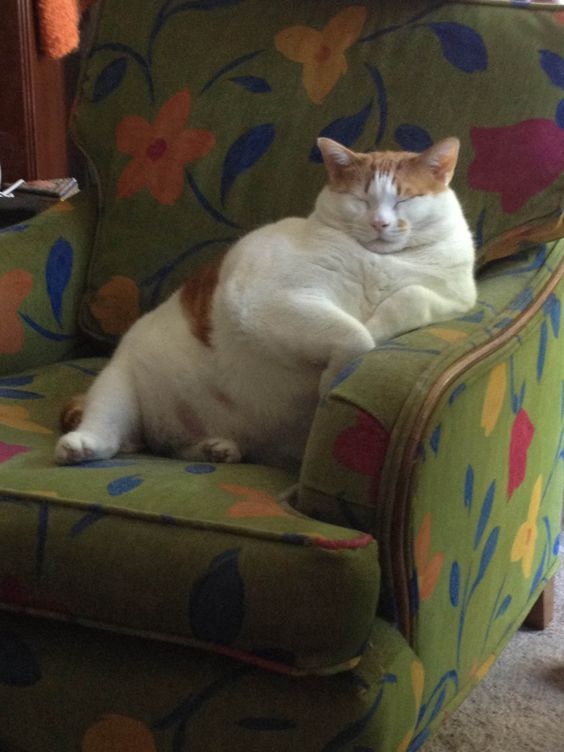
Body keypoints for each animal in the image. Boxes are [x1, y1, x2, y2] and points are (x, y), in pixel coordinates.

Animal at [55, 136, 477, 470]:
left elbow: (410, 299)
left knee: (166, 447)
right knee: (107, 431)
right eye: (361, 199)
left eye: (404, 198)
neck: (380, 261)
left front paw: (378, 324)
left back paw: (214, 448)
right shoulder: (267, 303)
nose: (380, 224)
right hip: (119, 383)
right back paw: (80, 446)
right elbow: (354, 333)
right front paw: (333, 376)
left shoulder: (456, 297)